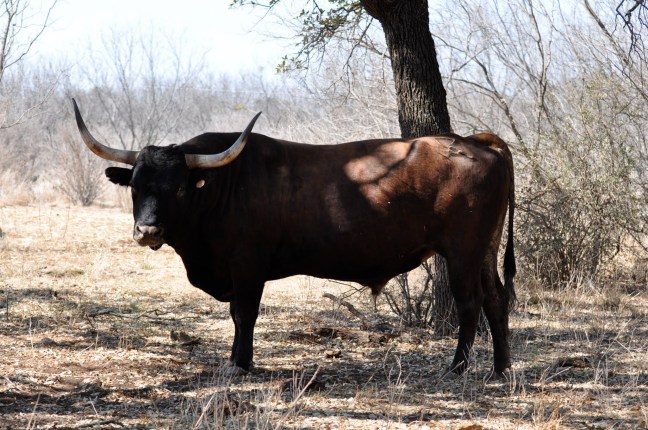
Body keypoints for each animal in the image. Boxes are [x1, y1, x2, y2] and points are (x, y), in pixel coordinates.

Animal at [72, 98, 516, 377]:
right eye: (135, 186)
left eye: (179, 188)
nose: (147, 230)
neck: (223, 185)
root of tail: (472, 141)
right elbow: (237, 316)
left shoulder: (247, 266)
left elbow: (244, 314)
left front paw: (239, 364)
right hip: (485, 252)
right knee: (496, 300)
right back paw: (500, 369)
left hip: (462, 252)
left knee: (470, 304)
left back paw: (458, 367)